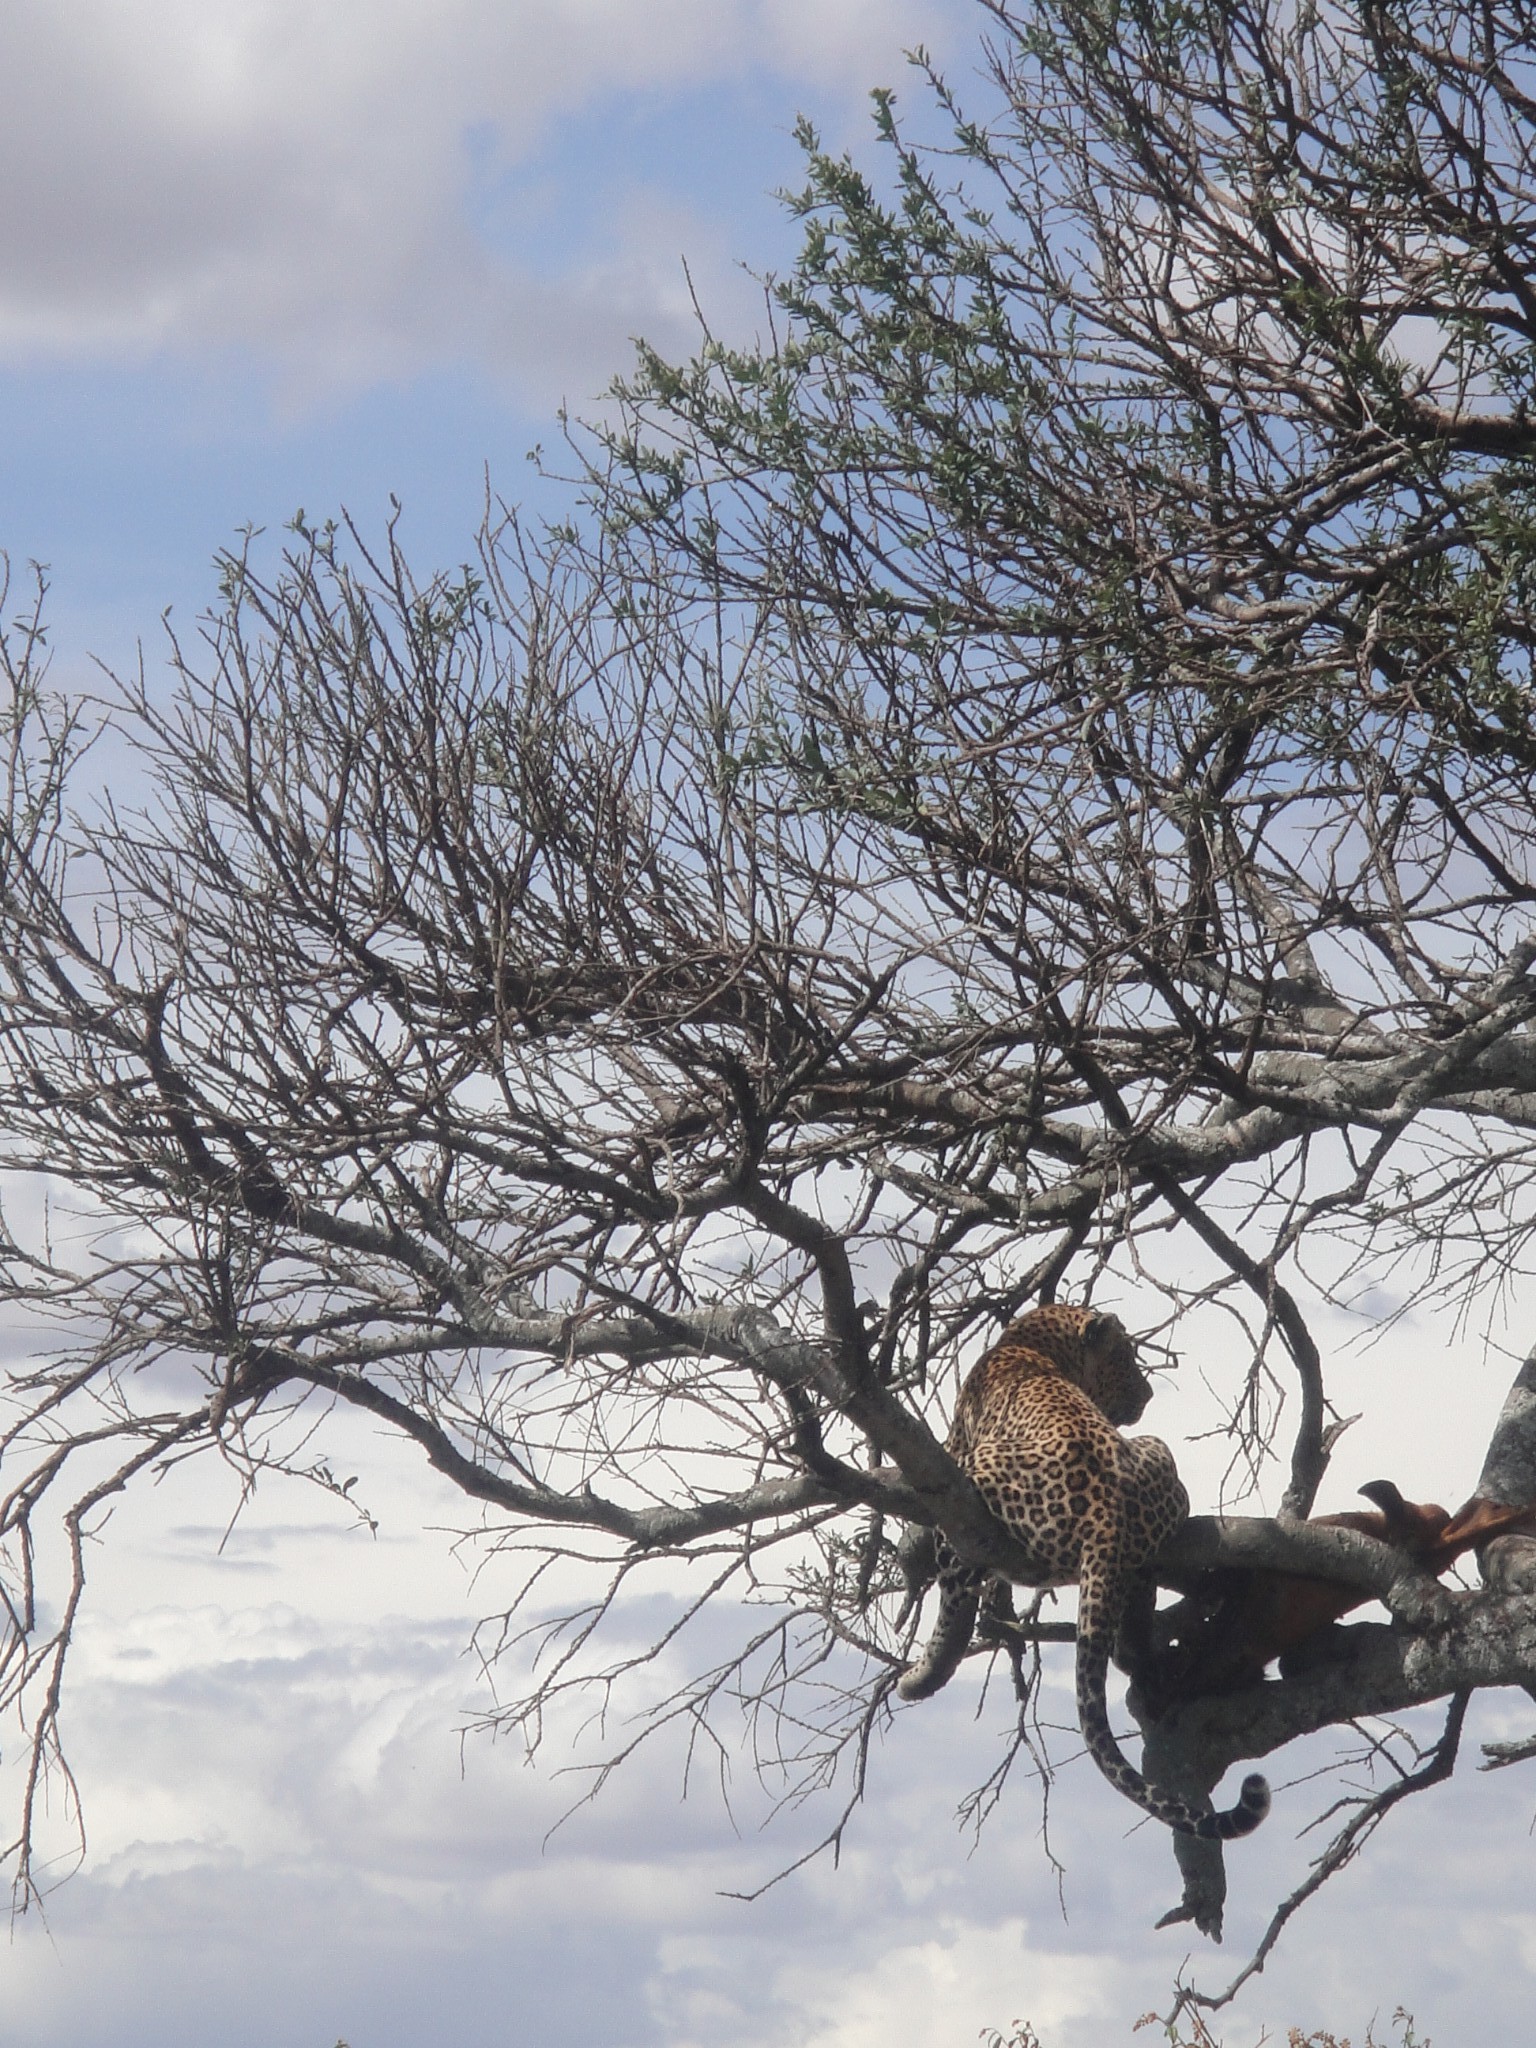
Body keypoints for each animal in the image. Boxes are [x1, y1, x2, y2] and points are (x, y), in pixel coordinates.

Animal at [897, 1302, 1269, 1851]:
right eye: (1127, 1357)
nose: (1148, 1394)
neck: (1029, 1344)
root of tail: (1107, 1515)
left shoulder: (953, 1445)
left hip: (977, 1475)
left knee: (959, 1581)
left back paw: (926, 1671)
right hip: (1157, 1454)